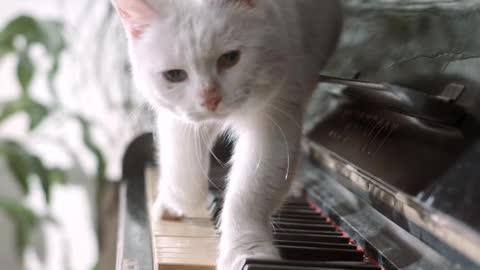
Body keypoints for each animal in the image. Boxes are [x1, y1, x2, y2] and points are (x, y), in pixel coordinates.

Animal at [112, 0, 342, 268]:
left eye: (231, 58)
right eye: (174, 75)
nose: (210, 99)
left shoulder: (274, 121)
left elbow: (247, 196)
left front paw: (246, 253)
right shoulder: (179, 121)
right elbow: (183, 172)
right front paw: (173, 206)